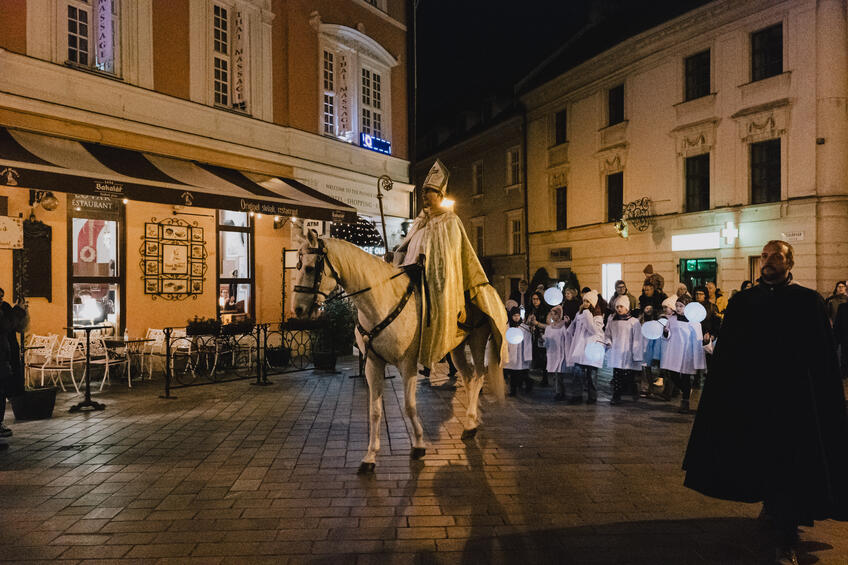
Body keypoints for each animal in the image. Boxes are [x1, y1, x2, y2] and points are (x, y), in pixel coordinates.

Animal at [292, 229, 504, 472]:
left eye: (309, 268)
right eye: (297, 266)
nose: (297, 309)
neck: (381, 301)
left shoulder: (407, 364)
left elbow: (409, 406)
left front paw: (419, 444)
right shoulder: (373, 364)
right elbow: (374, 411)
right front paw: (370, 456)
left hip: (477, 340)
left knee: (479, 376)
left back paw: (470, 420)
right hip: (456, 348)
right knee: (469, 378)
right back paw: (471, 422)